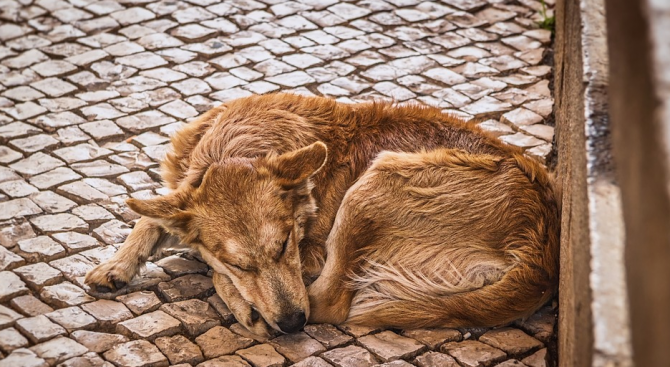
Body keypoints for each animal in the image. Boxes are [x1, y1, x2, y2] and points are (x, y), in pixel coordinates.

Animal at [85, 93, 560, 338]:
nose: (293, 324)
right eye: (243, 263)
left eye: (285, 246)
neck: (238, 145)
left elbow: (209, 265)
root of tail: (542, 258)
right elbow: (152, 215)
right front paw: (116, 265)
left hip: (373, 184)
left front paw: (241, 300)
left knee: (329, 303)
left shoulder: (310, 255)